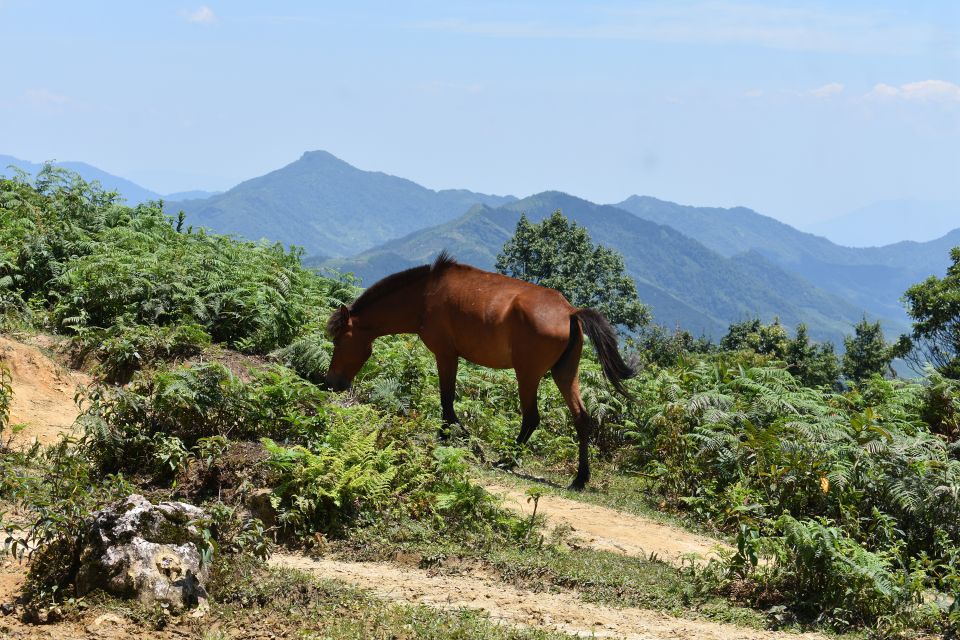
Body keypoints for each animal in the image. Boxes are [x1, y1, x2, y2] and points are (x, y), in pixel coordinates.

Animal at [326, 251, 632, 490]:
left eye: (338, 340)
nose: (330, 383)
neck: (423, 295)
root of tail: (570, 311)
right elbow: (448, 403)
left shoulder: (446, 355)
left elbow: (447, 402)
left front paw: (459, 440)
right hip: (565, 374)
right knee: (581, 417)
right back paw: (580, 478)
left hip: (527, 374)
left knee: (531, 418)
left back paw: (506, 460)